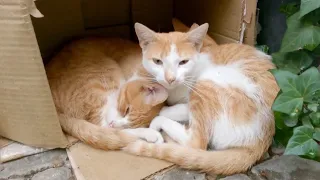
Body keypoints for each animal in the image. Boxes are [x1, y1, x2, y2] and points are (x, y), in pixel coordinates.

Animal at [124, 21, 278, 175]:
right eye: (157, 61)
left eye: (183, 62)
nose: (170, 78)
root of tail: (262, 140)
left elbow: (174, 110)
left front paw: (164, 112)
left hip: (208, 81)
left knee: (196, 143)